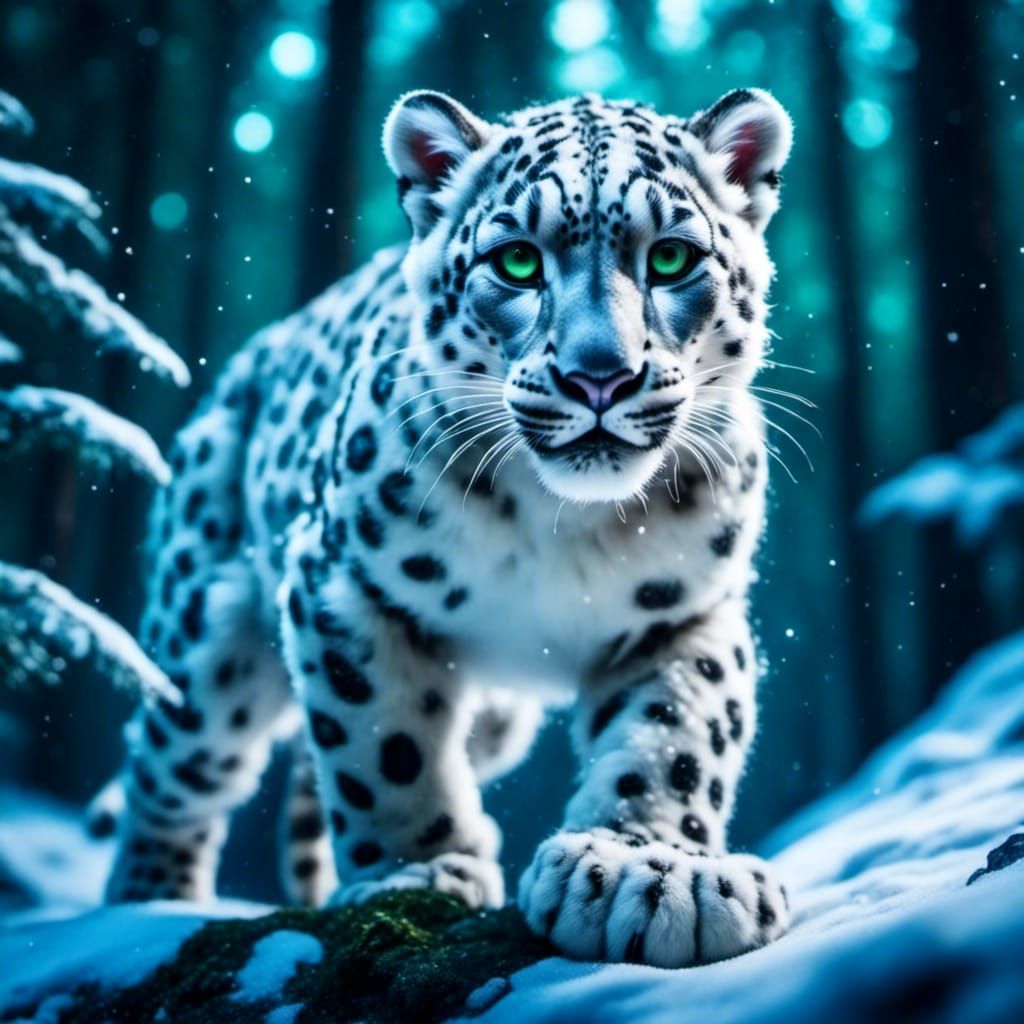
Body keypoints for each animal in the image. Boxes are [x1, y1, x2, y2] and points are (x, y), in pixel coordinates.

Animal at [98, 86, 794, 968]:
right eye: (517, 262)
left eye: (671, 258)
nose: (599, 375)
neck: (568, 525)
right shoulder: (343, 586)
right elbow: (383, 744)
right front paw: (416, 873)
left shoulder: (686, 613)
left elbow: (674, 734)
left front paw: (650, 872)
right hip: (204, 649)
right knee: (169, 767)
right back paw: (148, 906)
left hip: (494, 724)